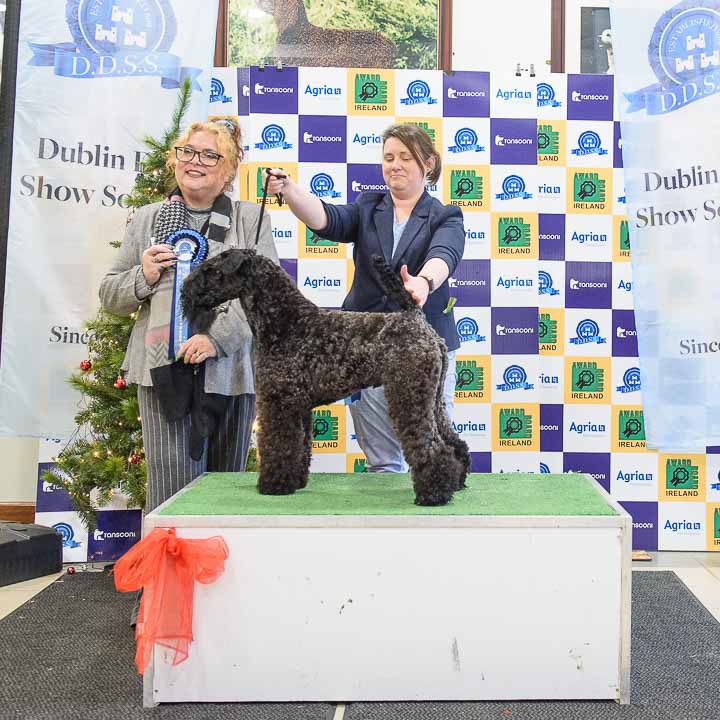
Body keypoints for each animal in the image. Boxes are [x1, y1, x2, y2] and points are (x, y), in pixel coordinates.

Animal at [182, 249, 469, 506]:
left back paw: (433, 494)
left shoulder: (278, 402)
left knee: (432, 446)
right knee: (454, 442)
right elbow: (300, 445)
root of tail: (417, 319)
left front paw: (273, 485)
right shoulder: (298, 406)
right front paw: (295, 481)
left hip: (410, 396)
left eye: (211, 270)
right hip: (433, 400)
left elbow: (278, 443)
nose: (186, 289)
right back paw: (457, 482)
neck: (285, 321)